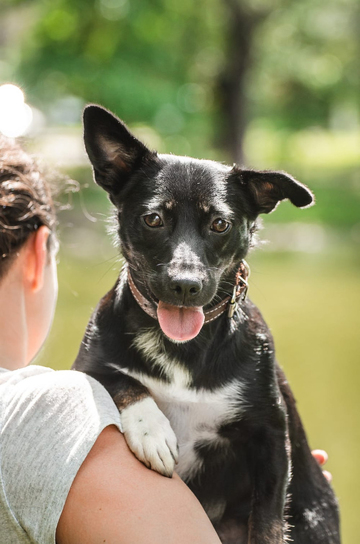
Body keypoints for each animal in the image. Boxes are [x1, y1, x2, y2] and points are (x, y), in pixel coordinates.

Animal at [72, 105, 340, 544]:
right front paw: (151, 431)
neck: (184, 348)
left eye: (220, 224)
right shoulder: (84, 366)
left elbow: (267, 522)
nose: (185, 285)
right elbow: (122, 380)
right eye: (153, 219)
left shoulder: (270, 437)